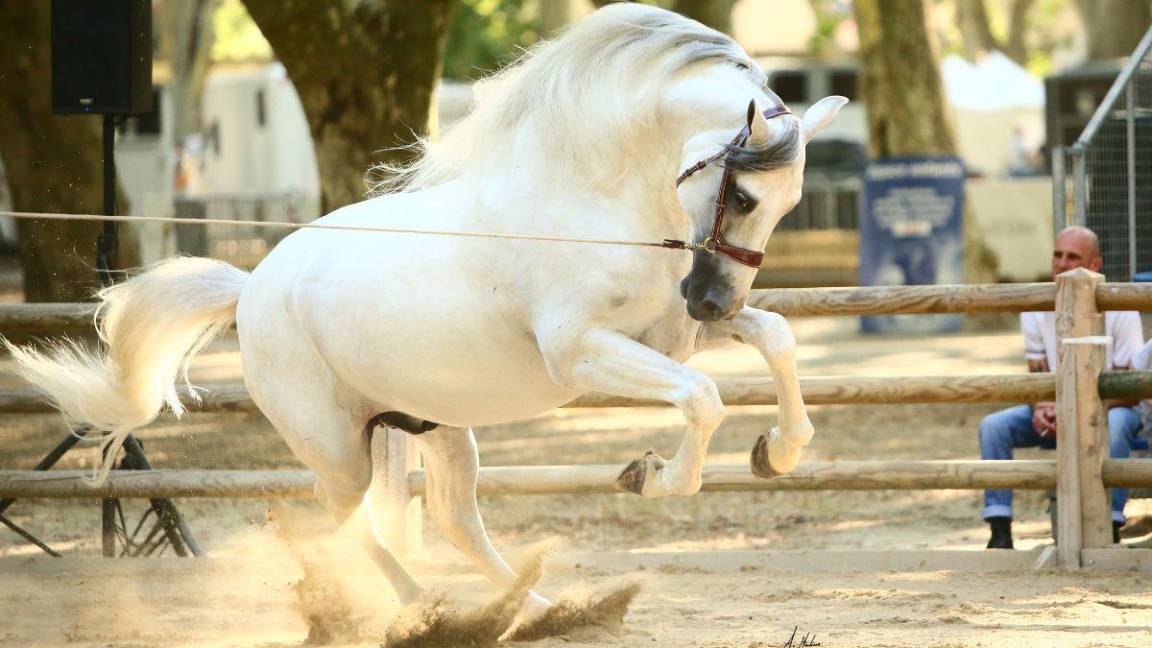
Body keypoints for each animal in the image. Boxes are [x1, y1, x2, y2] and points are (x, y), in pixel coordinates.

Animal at [9, 5, 847, 618]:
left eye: (790, 204)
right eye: (744, 196)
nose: (713, 297)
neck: (591, 202)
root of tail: (251, 291)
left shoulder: (669, 332)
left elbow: (774, 338)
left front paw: (777, 451)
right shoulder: (584, 352)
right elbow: (703, 400)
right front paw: (652, 475)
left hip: (435, 425)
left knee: (448, 519)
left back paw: (530, 611)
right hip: (338, 447)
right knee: (346, 526)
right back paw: (423, 610)